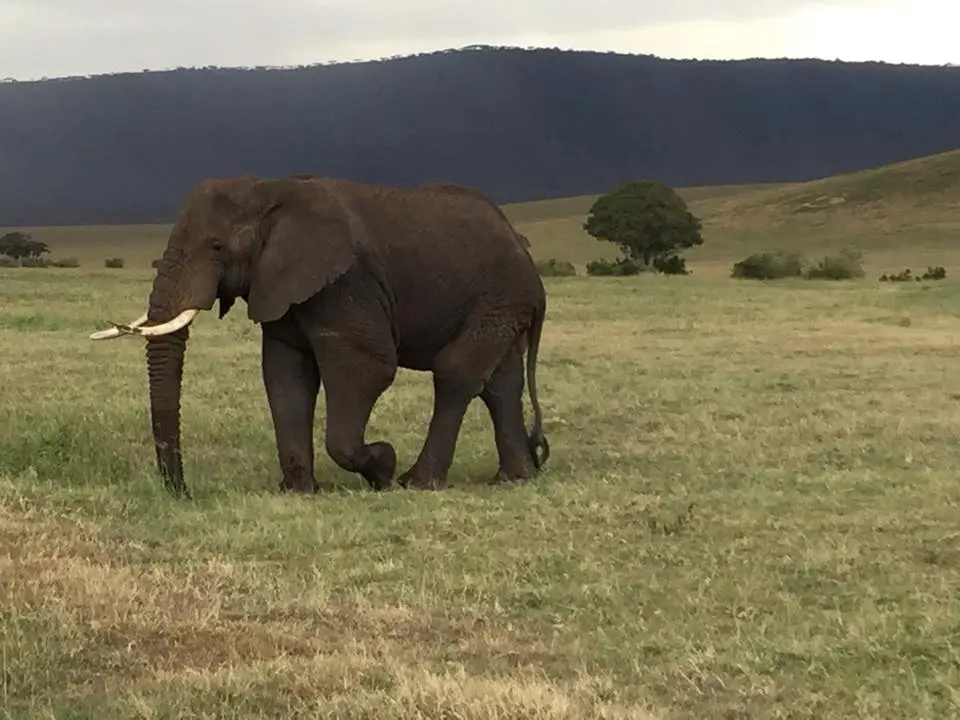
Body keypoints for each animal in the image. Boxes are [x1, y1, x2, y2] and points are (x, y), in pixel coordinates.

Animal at [94, 177, 556, 498]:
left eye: (217, 247)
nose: (183, 492)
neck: (268, 190)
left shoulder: (346, 284)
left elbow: (366, 369)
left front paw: (383, 465)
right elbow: (285, 376)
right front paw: (298, 491)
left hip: (499, 296)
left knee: (455, 375)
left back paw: (417, 482)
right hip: (501, 305)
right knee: (500, 384)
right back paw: (514, 478)